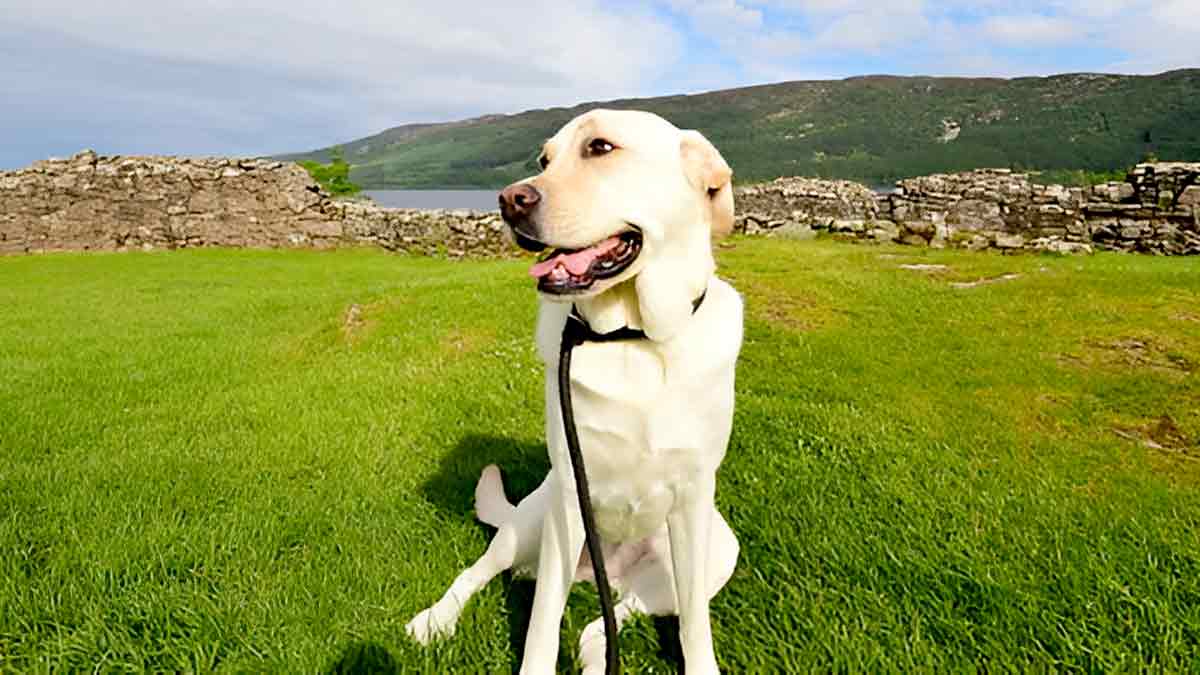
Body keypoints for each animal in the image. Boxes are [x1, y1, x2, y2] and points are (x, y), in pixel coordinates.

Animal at [408, 107, 744, 667]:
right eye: (545, 160)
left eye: (601, 148)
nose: (509, 200)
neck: (632, 336)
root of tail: (601, 572)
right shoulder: (569, 495)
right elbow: (543, 621)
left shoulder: (695, 496)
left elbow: (696, 623)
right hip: (528, 524)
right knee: (478, 572)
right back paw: (435, 620)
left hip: (716, 550)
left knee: (613, 617)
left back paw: (595, 653)